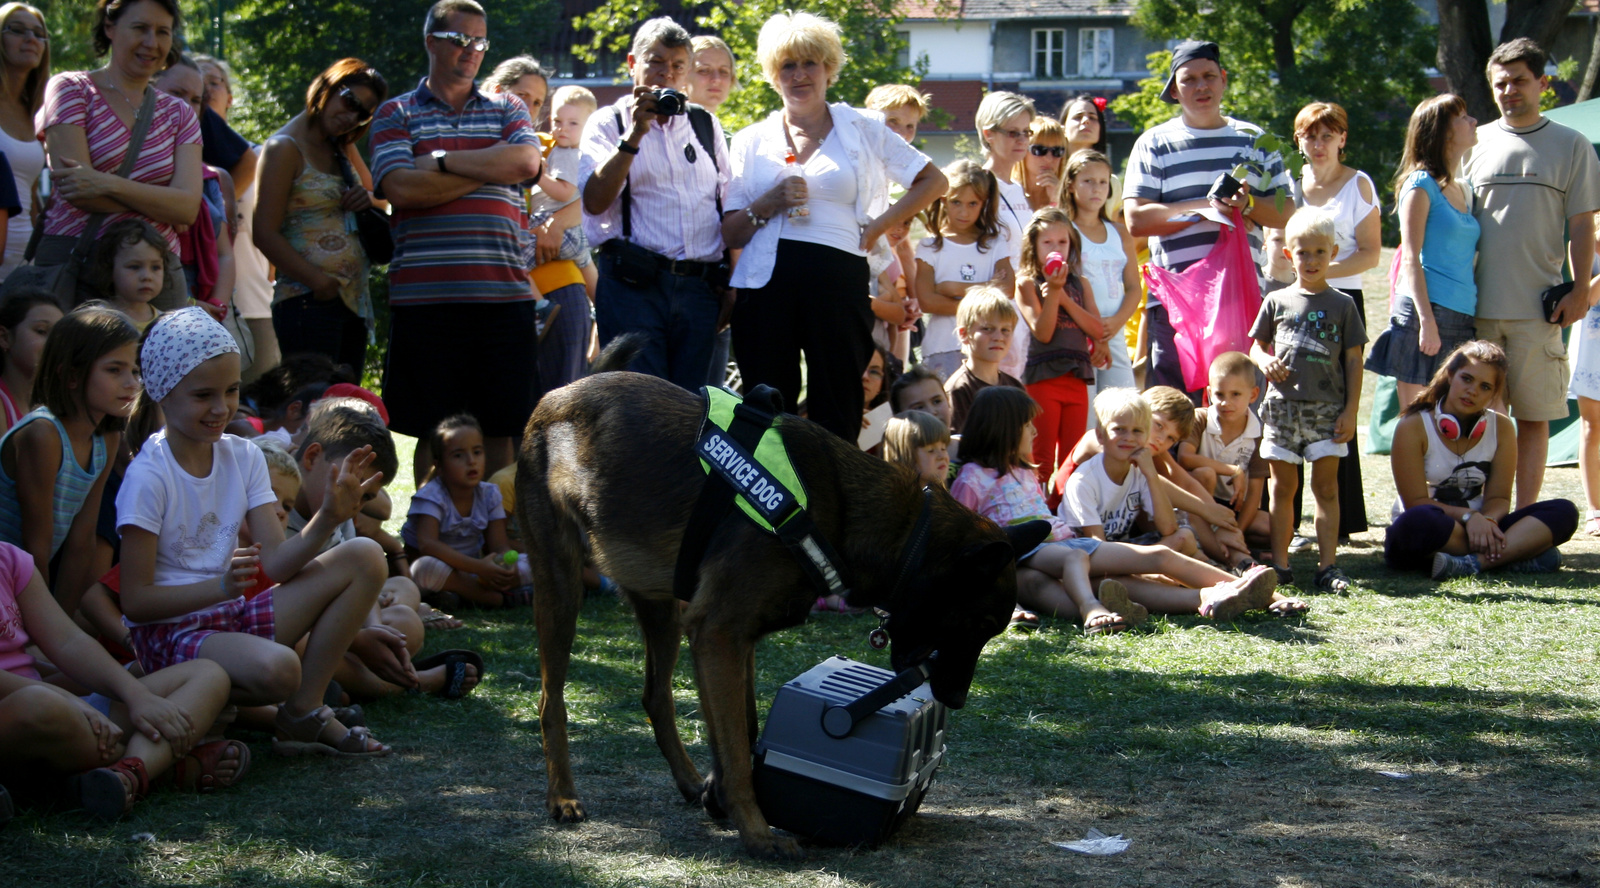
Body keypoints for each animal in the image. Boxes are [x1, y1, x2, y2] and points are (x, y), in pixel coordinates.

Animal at [515, 371, 1049, 857]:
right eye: (981, 626)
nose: (955, 700)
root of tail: (552, 396)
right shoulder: (719, 633)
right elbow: (734, 742)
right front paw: (756, 832)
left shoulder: (732, 638)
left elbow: (741, 731)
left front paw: (720, 797)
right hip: (562, 586)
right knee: (551, 700)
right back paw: (563, 797)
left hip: (660, 607)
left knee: (655, 696)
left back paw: (687, 781)